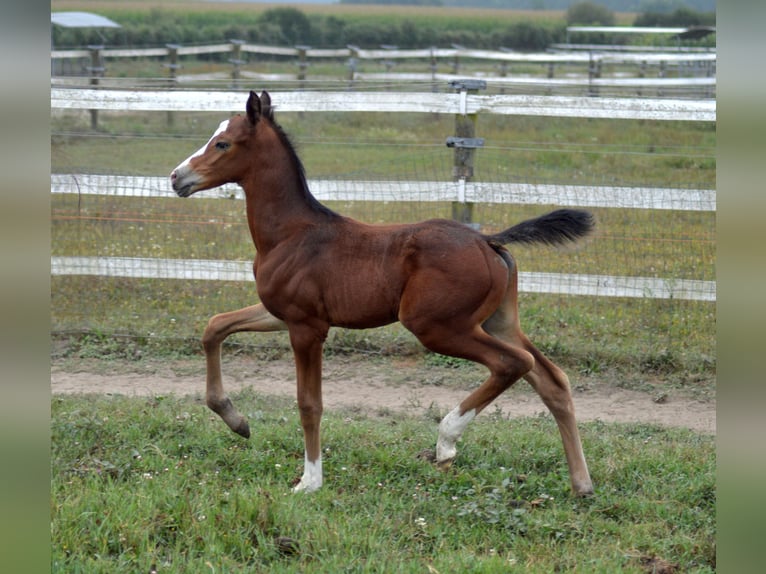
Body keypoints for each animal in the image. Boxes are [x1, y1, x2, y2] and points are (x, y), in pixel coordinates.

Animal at [171, 91, 596, 500]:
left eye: (223, 143)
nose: (177, 177)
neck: (290, 234)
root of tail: (488, 241)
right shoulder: (280, 313)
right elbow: (215, 327)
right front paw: (236, 420)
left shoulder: (307, 327)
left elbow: (309, 403)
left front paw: (309, 482)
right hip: (498, 321)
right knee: (552, 380)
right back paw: (581, 484)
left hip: (438, 327)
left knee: (514, 363)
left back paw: (446, 441)